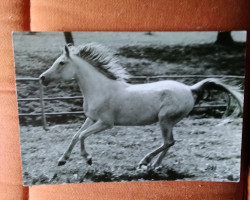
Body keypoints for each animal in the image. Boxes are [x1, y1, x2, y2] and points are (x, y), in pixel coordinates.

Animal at [39, 42, 244, 169]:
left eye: (61, 63)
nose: (42, 78)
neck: (100, 89)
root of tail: (190, 88)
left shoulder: (106, 123)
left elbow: (82, 136)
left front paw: (88, 159)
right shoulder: (91, 118)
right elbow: (75, 135)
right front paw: (62, 160)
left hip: (164, 120)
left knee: (168, 142)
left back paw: (145, 161)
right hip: (168, 122)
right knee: (170, 142)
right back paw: (155, 165)